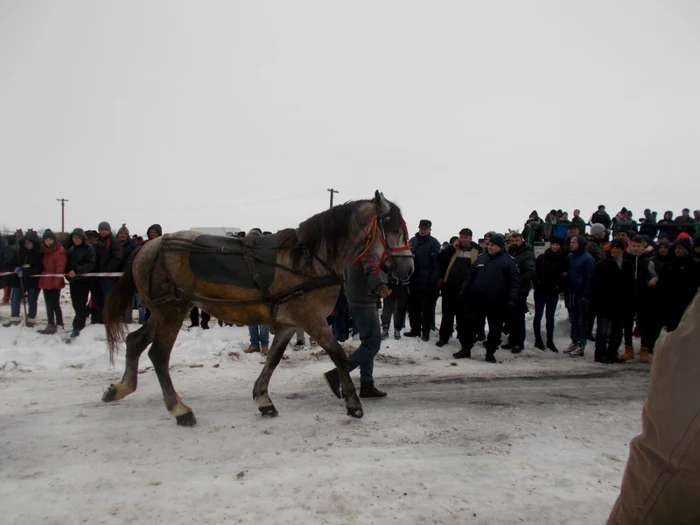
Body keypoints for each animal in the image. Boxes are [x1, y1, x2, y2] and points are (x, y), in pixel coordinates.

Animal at [101, 190, 412, 424]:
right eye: (395, 229)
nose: (408, 269)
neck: (310, 259)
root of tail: (148, 246)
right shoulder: (311, 319)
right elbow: (337, 354)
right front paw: (353, 402)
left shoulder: (290, 323)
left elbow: (273, 358)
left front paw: (263, 399)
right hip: (172, 311)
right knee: (158, 355)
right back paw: (180, 409)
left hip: (163, 310)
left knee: (135, 341)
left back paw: (121, 387)